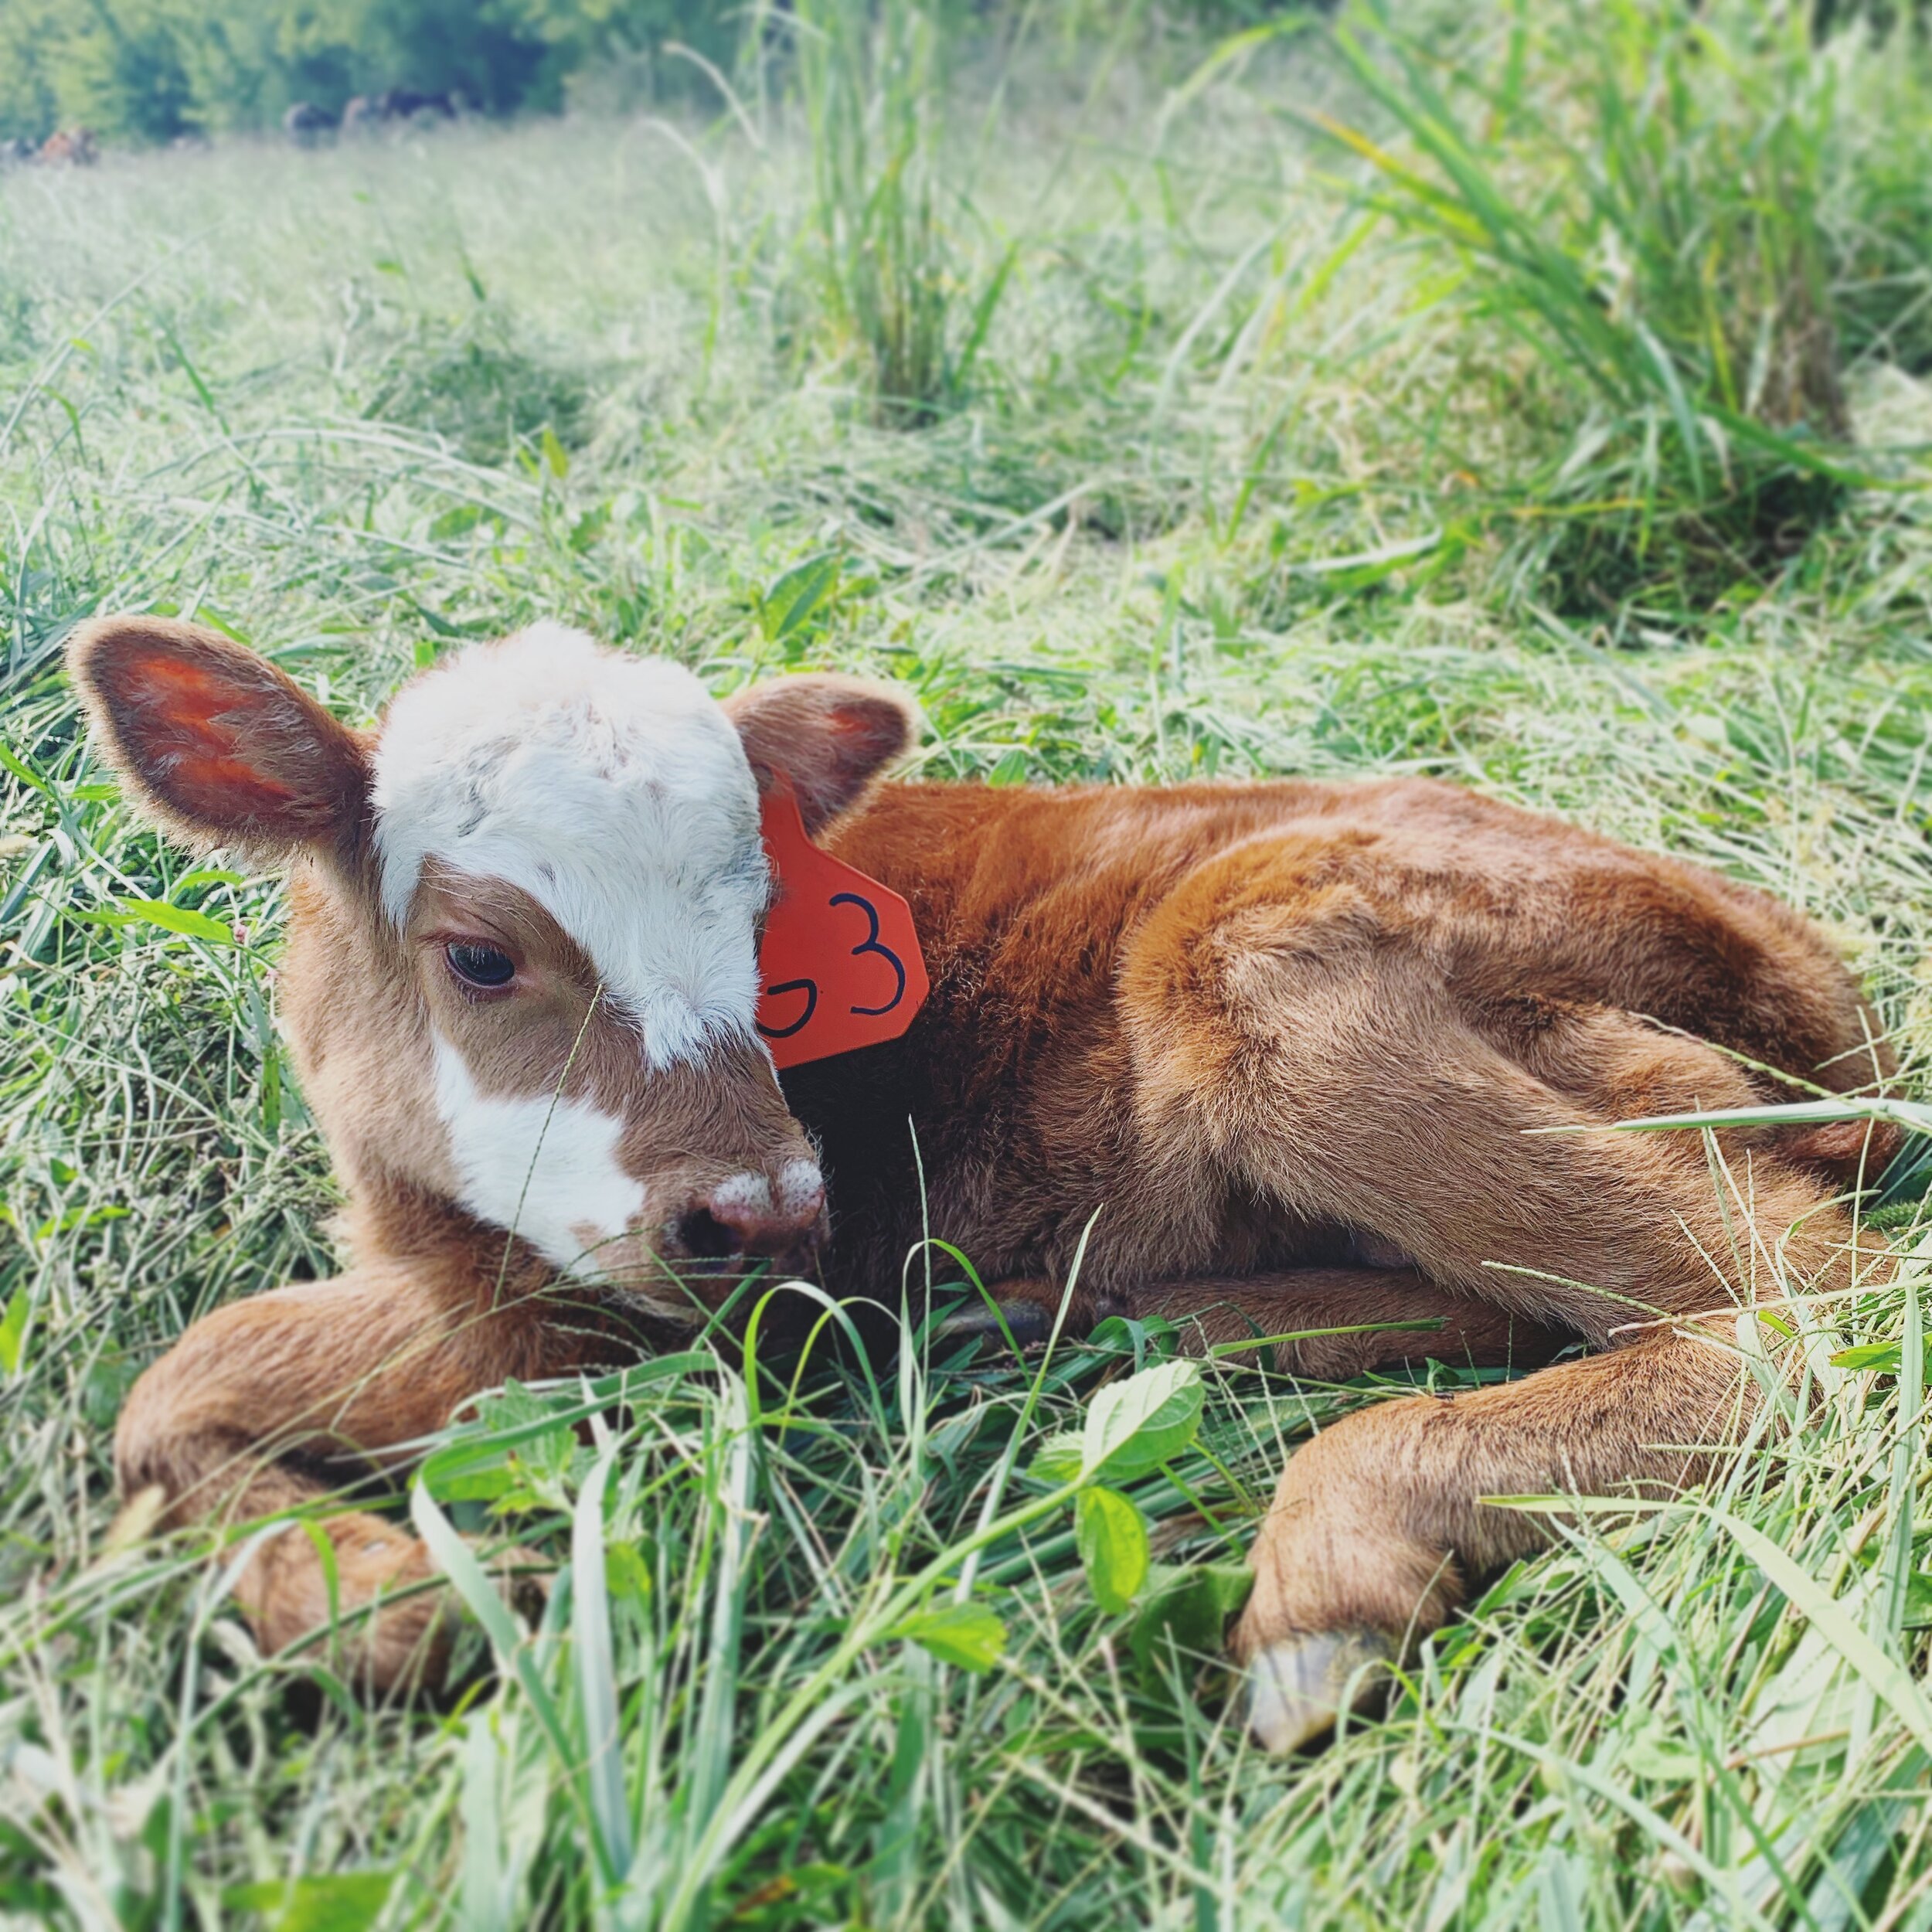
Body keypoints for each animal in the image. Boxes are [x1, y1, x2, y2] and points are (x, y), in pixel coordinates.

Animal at [71, 614, 1894, 1748]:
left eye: (763, 940)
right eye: (476, 954)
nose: (766, 1209)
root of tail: (1823, 987)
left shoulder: (636, 1318)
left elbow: (184, 1368)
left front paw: (393, 1604)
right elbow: (179, 1388)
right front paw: (367, 1594)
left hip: (1257, 955)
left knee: (1808, 1307)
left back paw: (1327, 1568)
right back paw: (1109, 1327)